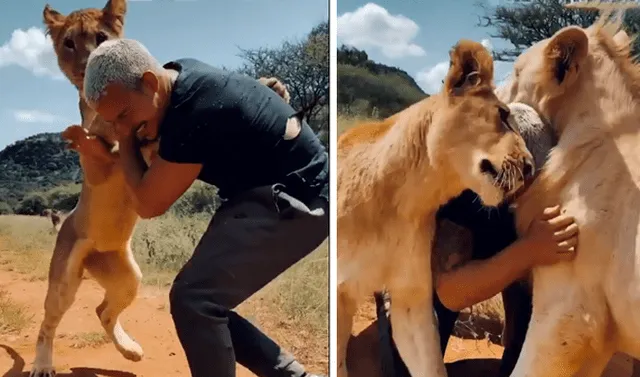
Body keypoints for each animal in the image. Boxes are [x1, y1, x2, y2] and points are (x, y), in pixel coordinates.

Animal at [340, 40, 536, 376]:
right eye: (502, 115)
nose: (531, 167)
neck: (406, 197)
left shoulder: (411, 298)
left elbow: (429, 362)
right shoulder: (341, 292)